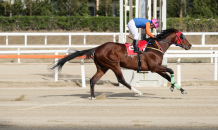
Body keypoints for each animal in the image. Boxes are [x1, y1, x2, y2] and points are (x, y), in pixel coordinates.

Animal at [51, 28, 191, 99]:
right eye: (182, 36)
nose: (190, 45)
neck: (155, 46)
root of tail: (97, 48)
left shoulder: (158, 69)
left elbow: (168, 76)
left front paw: (182, 90)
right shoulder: (154, 67)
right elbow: (171, 71)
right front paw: (172, 87)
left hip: (103, 67)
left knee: (93, 80)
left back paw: (93, 97)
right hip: (114, 64)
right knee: (121, 79)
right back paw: (137, 92)